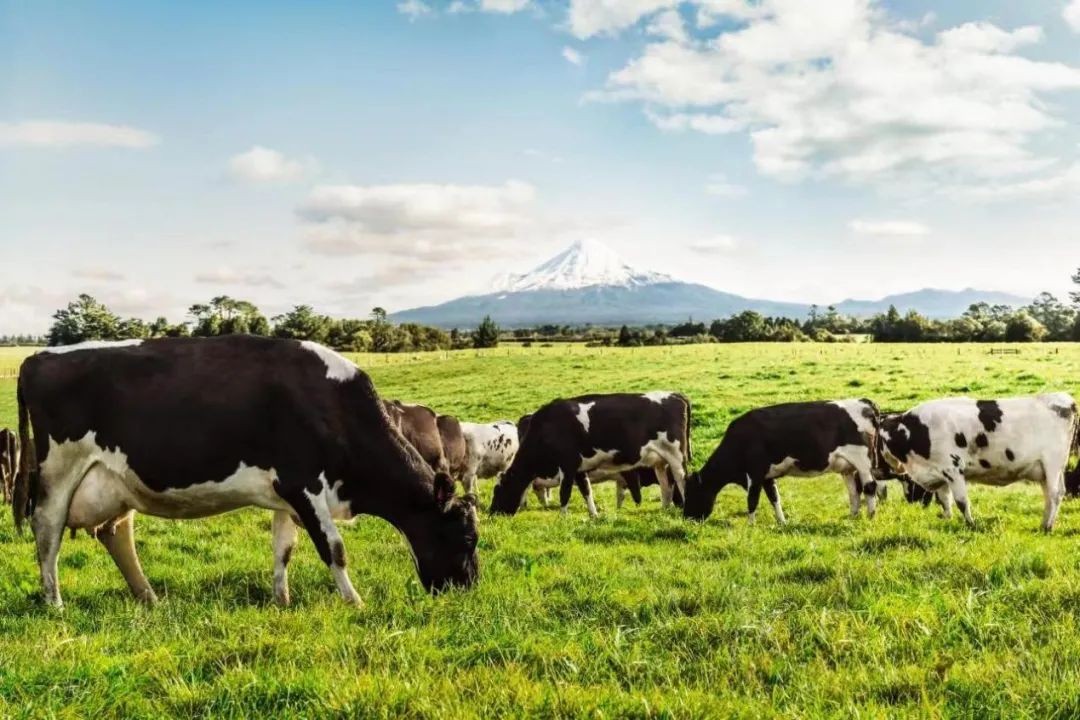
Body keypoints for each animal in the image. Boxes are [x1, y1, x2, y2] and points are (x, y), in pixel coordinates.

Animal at [12, 338, 477, 608]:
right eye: (468, 537)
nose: (469, 587)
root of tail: (37, 356)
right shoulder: (302, 482)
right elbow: (334, 548)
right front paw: (355, 602)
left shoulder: (287, 494)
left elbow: (283, 549)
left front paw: (281, 600)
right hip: (58, 471)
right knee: (47, 529)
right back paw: (54, 602)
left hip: (117, 480)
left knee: (114, 531)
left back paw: (149, 597)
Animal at [492, 395, 691, 518]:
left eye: (498, 491)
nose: (491, 513)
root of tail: (675, 395)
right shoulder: (579, 468)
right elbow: (586, 490)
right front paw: (594, 514)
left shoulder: (568, 464)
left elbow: (565, 492)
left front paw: (562, 516)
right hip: (660, 461)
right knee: (666, 486)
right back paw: (665, 510)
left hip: (676, 457)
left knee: (681, 481)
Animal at [686, 399, 881, 524]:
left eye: (690, 494)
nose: (687, 518)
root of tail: (864, 402)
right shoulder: (766, 476)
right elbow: (774, 498)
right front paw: (782, 522)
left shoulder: (755, 473)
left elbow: (752, 500)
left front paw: (750, 526)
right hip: (848, 467)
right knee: (854, 492)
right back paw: (853, 517)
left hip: (863, 463)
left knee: (870, 487)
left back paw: (871, 516)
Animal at [876, 395, 1080, 528]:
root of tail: (1066, 400)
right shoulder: (940, 472)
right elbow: (944, 500)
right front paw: (948, 519)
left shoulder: (953, 468)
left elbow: (961, 501)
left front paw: (971, 524)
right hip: (1044, 470)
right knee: (1051, 494)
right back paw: (1045, 523)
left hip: (1053, 464)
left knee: (1055, 494)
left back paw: (1047, 527)